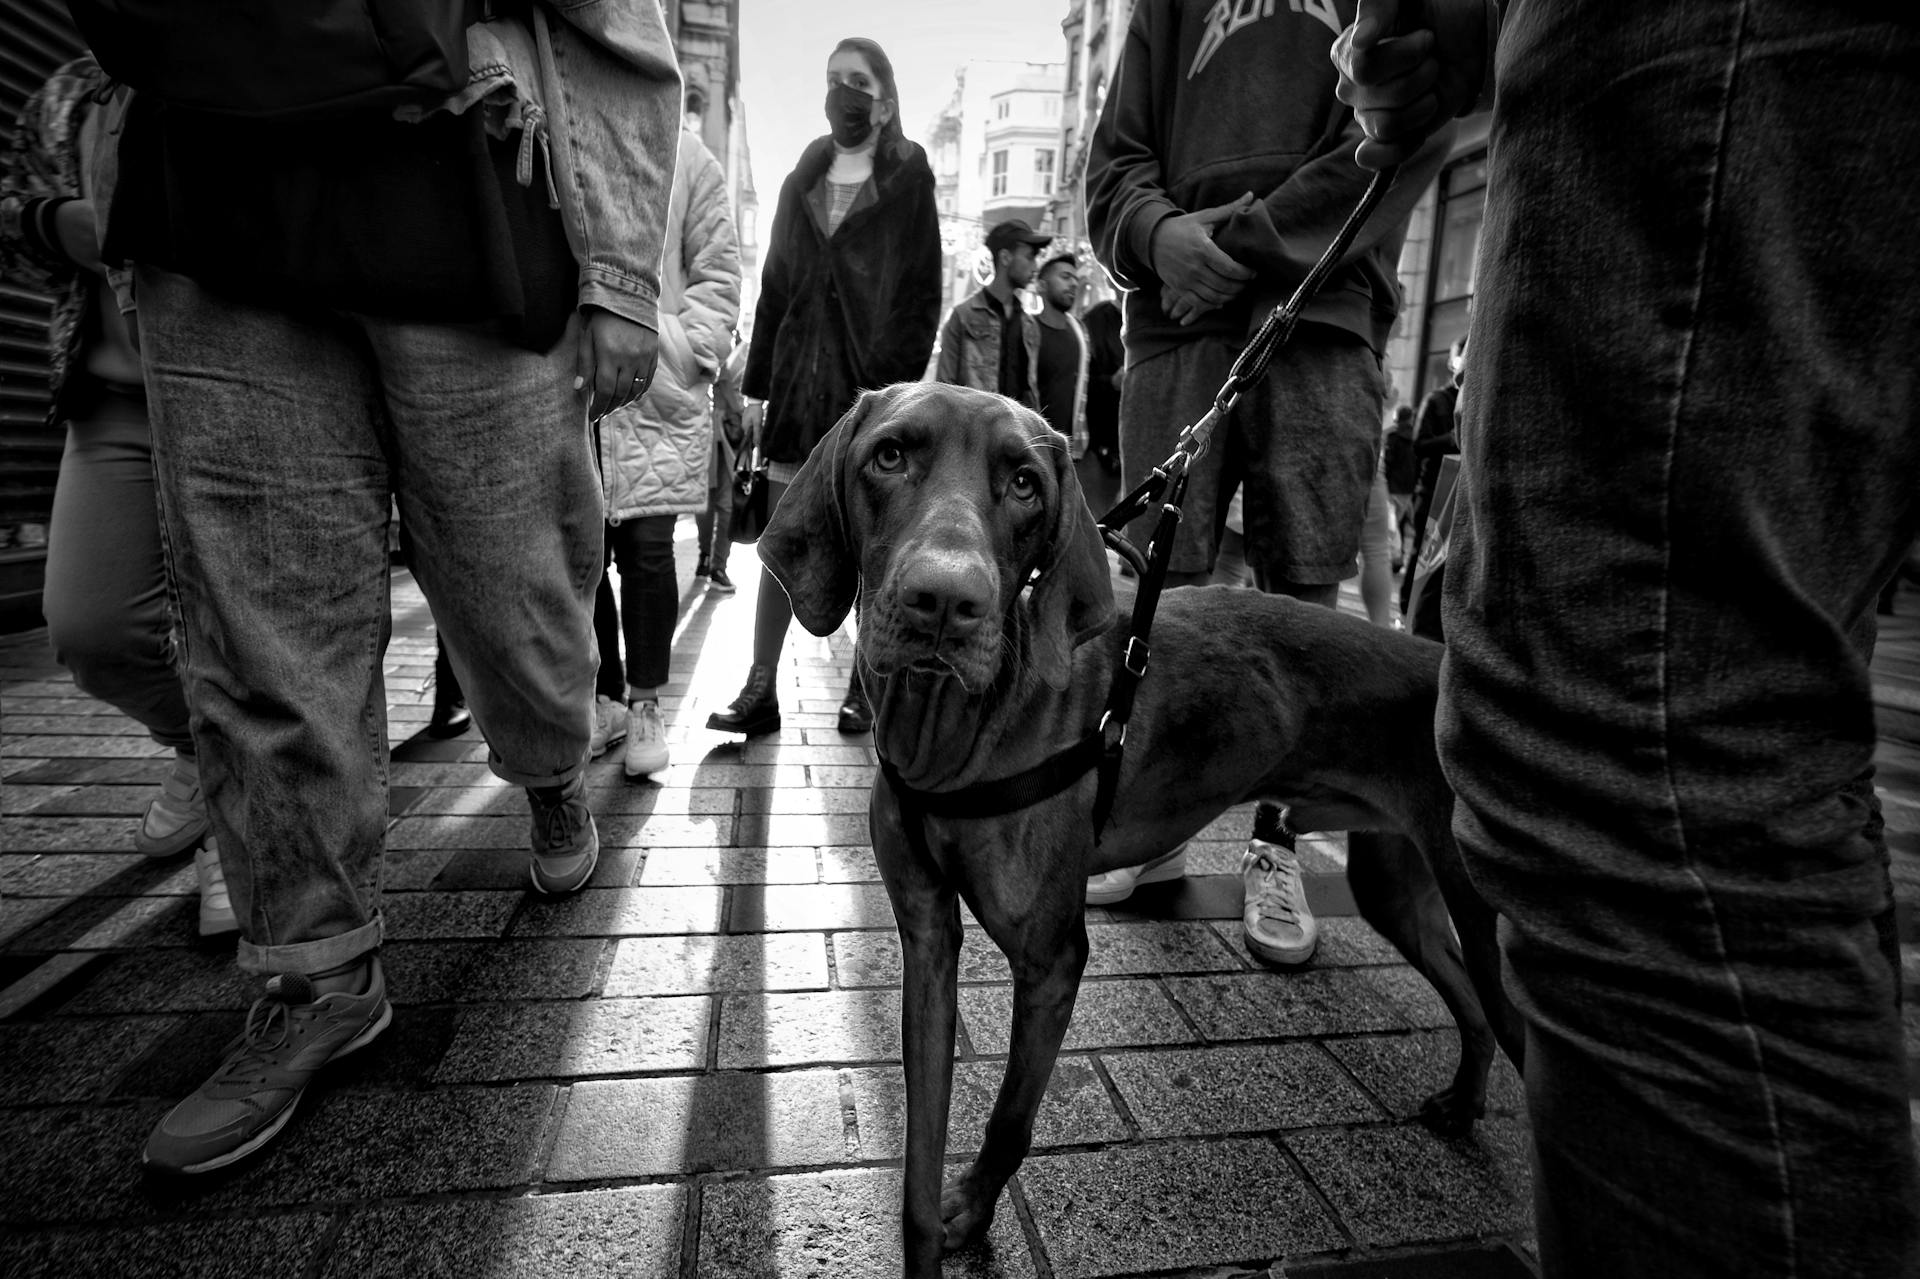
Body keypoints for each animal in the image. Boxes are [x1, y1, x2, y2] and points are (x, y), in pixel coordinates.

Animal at [756, 380, 1520, 1275]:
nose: (944, 603)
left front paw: (975, 1210)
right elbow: (919, 1152)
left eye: (1025, 484)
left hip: (1488, 920)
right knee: (1469, 1001)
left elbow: (1009, 1119)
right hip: (1392, 885)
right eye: (889, 454)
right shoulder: (927, 937)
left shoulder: (1052, 960)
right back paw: (1464, 1100)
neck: (958, 734)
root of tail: (1439, 659)